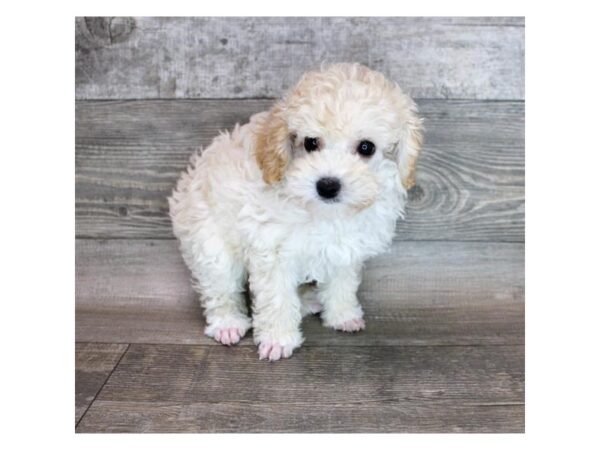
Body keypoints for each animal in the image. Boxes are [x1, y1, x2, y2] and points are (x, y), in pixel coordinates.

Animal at [166, 63, 424, 360]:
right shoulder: (272, 251)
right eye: (310, 143)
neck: (325, 213)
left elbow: (342, 283)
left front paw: (342, 315)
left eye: (366, 147)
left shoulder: (345, 249)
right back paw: (227, 323)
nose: (327, 185)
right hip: (209, 243)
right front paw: (278, 340)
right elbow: (276, 298)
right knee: (220, 287)